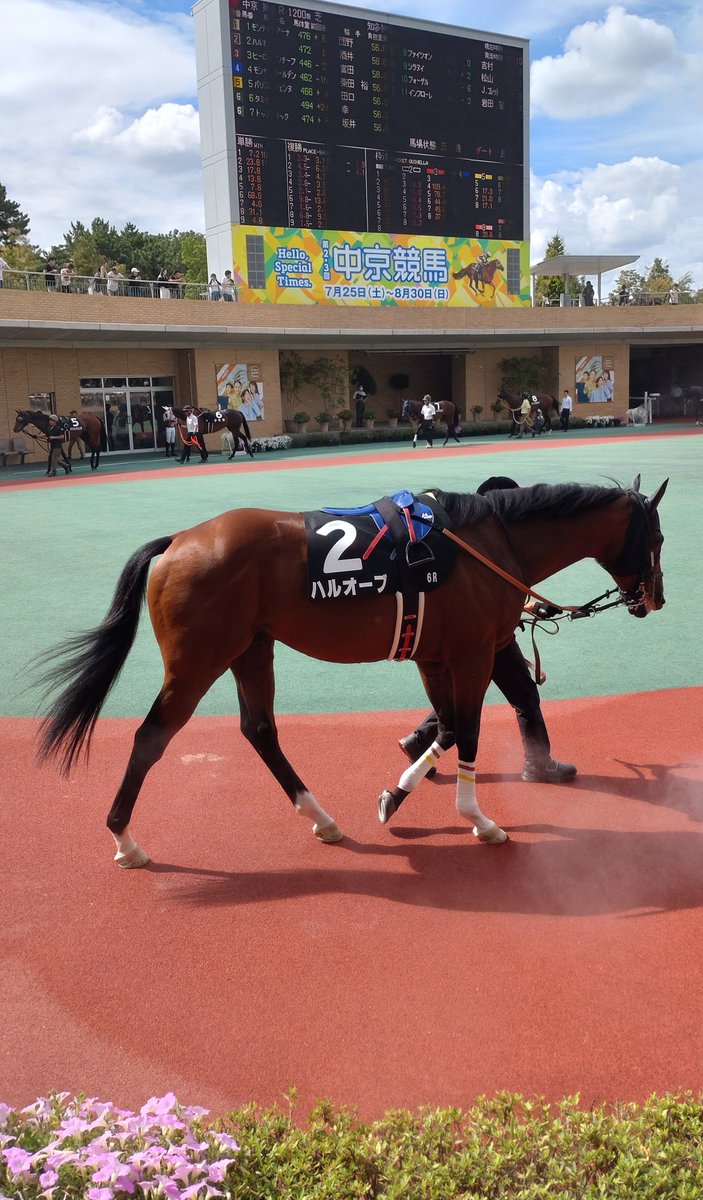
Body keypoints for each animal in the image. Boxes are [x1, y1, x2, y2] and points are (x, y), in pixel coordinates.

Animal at [35, 475, 667, 870]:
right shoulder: (471, 654)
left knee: (259, 730)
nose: (654, 599)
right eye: (658, 537)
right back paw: (126, 840)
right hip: (196, 661)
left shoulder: (433, 656)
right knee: (150, 738)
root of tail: (178, 542)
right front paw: (478, 821)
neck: (489, 543)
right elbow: (467, 731)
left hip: (251, 650)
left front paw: (395, 796)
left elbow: (445, 728)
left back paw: (321, 818)